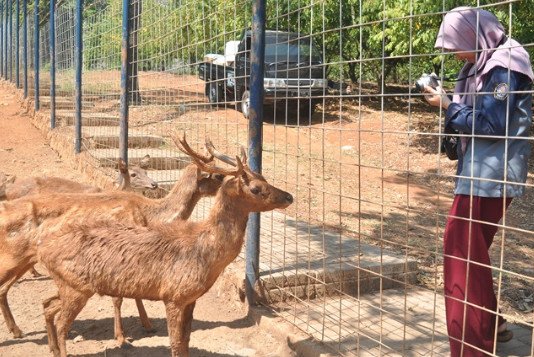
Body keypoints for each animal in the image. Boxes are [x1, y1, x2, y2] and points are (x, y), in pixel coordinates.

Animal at [0, 139, 224, 344]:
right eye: (214, 174)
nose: (226, 182)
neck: (148, 216)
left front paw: (147, 324)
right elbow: (118, 297)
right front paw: (121, 337)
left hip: (25, 258)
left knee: (4, 288)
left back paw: (17, 331)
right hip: (13, 255)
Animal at [36, 137, 298, 356]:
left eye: (264, 178)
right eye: (255, 188)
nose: (289, 197)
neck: (206, 255)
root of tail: (44, 249)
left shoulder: (191, 298)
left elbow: (186, 342)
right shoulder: (173, 295)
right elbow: (175, 343)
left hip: (69, 285)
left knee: (48, 305)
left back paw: (51, 348)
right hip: (76, 287)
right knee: (61, 324)